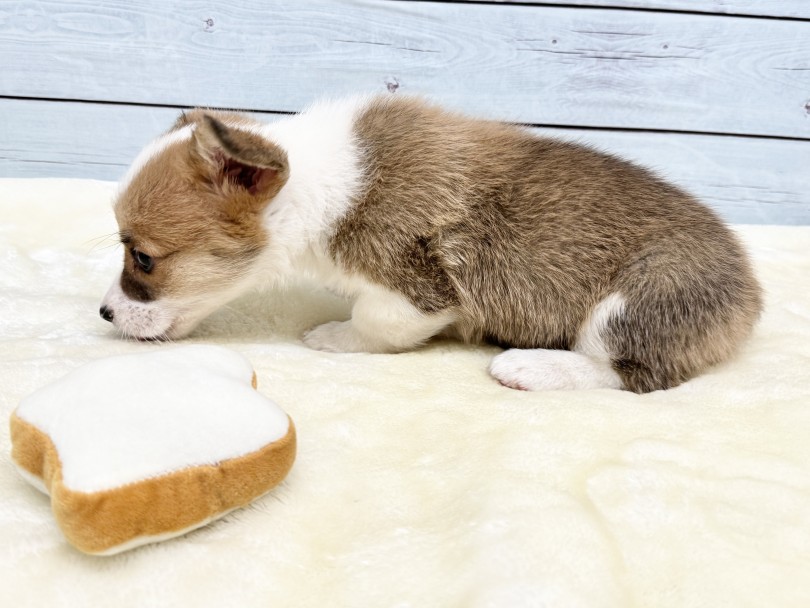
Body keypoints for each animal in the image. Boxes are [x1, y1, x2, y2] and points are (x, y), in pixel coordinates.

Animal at [99, 94, 756, 390]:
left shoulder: (416, 289)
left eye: (143, 257)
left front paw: (334, 336)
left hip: (641, 297)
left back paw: (532, 366)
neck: (317, 183)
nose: (103, 313)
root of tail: (751, 295)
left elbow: (374, 322)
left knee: (626, 372)